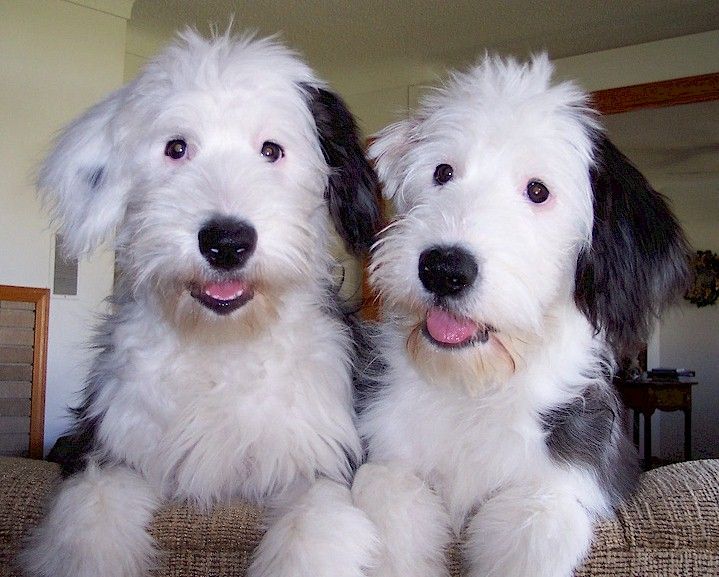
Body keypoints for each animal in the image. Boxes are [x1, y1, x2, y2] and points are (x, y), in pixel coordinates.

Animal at [21, 29, 382, 576]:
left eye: (272, 150)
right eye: (176, 147)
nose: (226, 242)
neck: (222, 346)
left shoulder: (320, 459)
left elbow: (313, 524)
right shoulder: (112, 449)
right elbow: (90, 521)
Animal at [352, 55, 692, 576]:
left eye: (537, 191)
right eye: (443, 172)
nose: (444, 269)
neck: (472, 389)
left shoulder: (562, 484)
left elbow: (533, 528)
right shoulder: (387, 457)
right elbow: (390, 506)